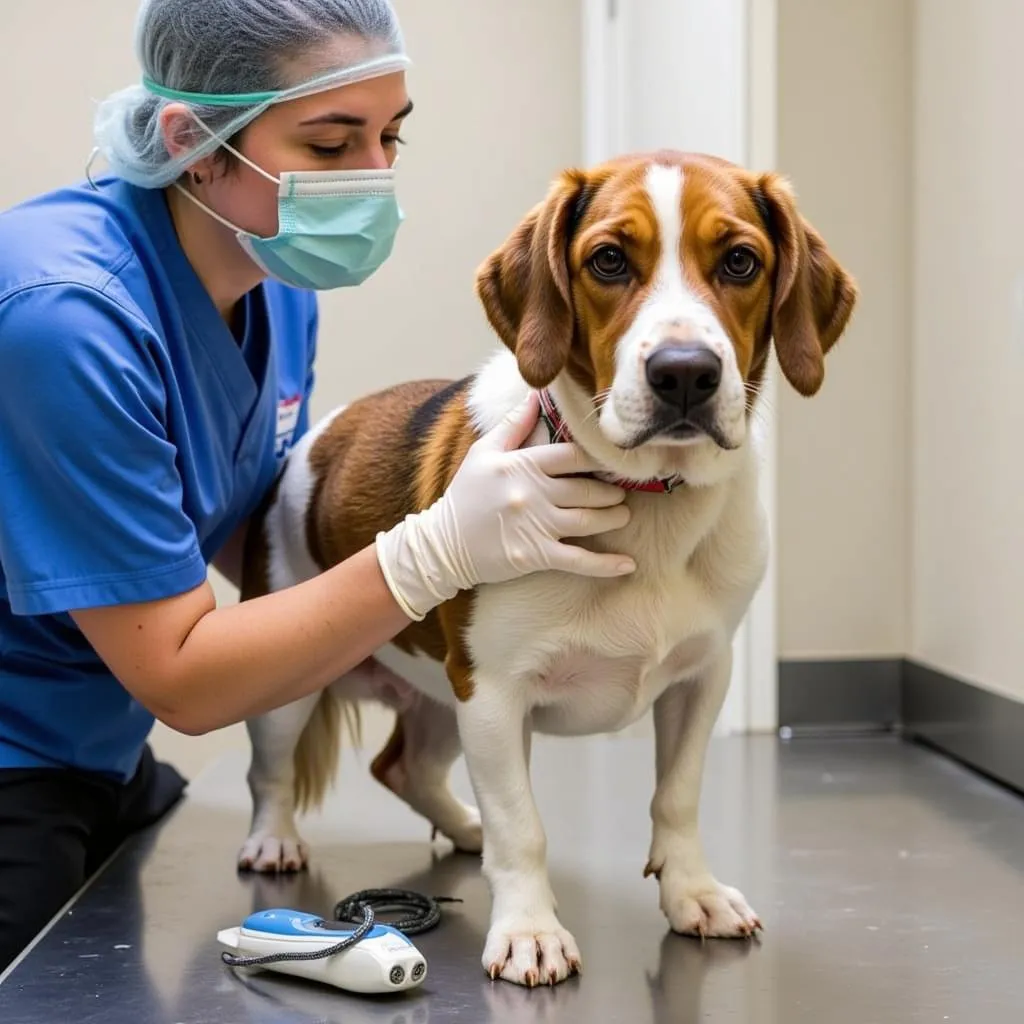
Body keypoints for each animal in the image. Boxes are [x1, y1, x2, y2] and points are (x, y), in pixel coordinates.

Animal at [235, 149, 851, 983]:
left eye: (740, 261)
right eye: (609, 260)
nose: (684, 373)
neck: (647, 505)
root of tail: (316, 437)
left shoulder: (702, 677)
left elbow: (677, 797)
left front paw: (692, 892)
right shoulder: (496, 696)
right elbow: (523, 828)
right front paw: (528, 928)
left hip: (442, 697)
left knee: (404, 767)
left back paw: (463, 827)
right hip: (301, 686)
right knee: (270, 772)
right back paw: (275, 839)